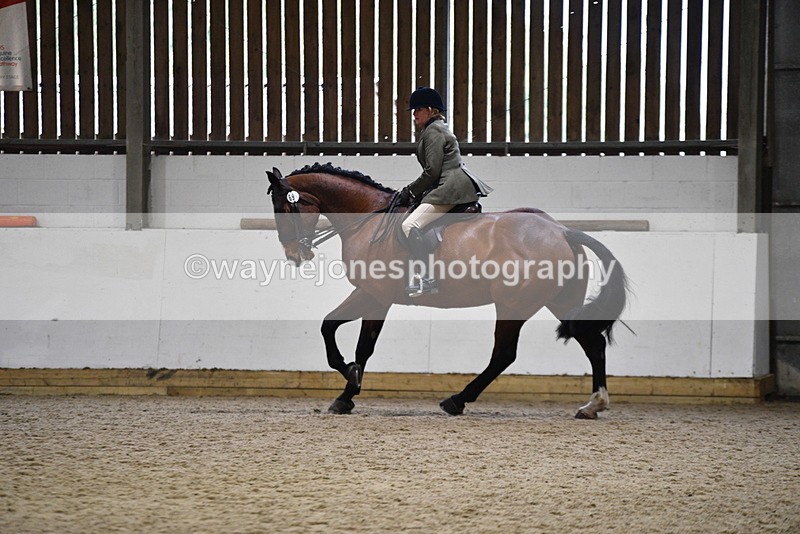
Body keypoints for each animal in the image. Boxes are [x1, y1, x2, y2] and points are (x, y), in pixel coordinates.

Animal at [266, 163, 629, 419]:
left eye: (283, 209)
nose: (295, 255)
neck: (367, 220)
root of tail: (561, 230)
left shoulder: (374, 296)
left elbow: (352, 341)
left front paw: (349, 385)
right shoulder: (372, 296)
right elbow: (339, 332)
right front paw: (348, 390)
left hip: (512, 305)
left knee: (504, 355)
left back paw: (456, 401)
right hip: (560, 301)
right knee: (592, 343)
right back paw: (593, 406)